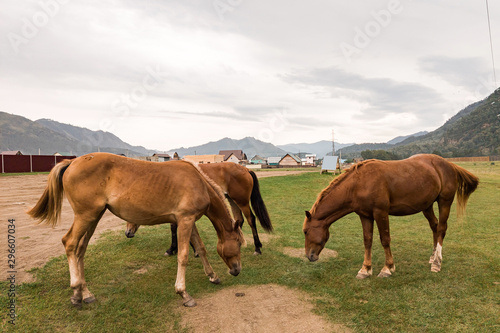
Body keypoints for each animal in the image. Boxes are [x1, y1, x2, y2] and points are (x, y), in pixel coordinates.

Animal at [28, 152, 245, 308]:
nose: (236, 270)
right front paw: (183, 293)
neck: (198, 181)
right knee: (70, 244)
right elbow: (183, 256)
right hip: (86, 216)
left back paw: (85, 294)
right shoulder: (185, 220)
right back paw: (75, 291)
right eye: (239, 244)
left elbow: (200, 248)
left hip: (93, 217)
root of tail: (72, 163)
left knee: (80, 250)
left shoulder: (187, 221)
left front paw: (213, 276)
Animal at [126, 161, 274, 254]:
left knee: (251, 220)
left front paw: (174, 249)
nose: (128, 233)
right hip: (232, 200)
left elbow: (175, 228)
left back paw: (257, 248)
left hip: (242, 202)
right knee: (239, 220)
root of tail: (246, 169)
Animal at [302, 155, 478, 278]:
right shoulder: (365, 215)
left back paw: (436, 263)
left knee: (441, 228)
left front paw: (388, 268)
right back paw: (432, 256)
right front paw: (365, 270)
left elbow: (385, 240)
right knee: (434, 226)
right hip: (427, 206)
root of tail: (449, 165)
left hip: (444, 202)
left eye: (305, 231)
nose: (310, 256)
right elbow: (367, 241)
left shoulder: (380, 212)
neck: (358, 183)